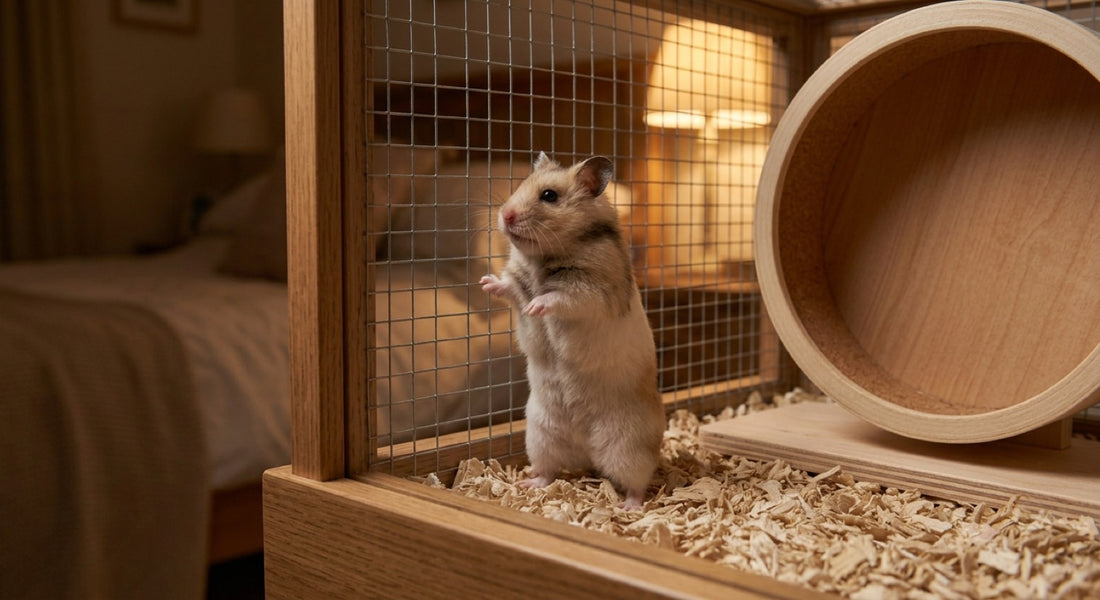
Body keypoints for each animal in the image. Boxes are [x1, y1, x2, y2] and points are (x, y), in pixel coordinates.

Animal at [479, 152, 664, 509]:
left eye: (549, 196)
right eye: (520, 185)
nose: (505, 215)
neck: (543, 255)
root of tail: (585, 447)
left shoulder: (590, 291)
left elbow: (559, 298)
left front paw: (536, 307)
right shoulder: (519, 281)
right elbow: (510, 287)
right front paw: (485, 284)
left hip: (627, 447)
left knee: (637, 480)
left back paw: (629, 507)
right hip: (540, 436)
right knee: (549, 470)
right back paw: (530, 484)